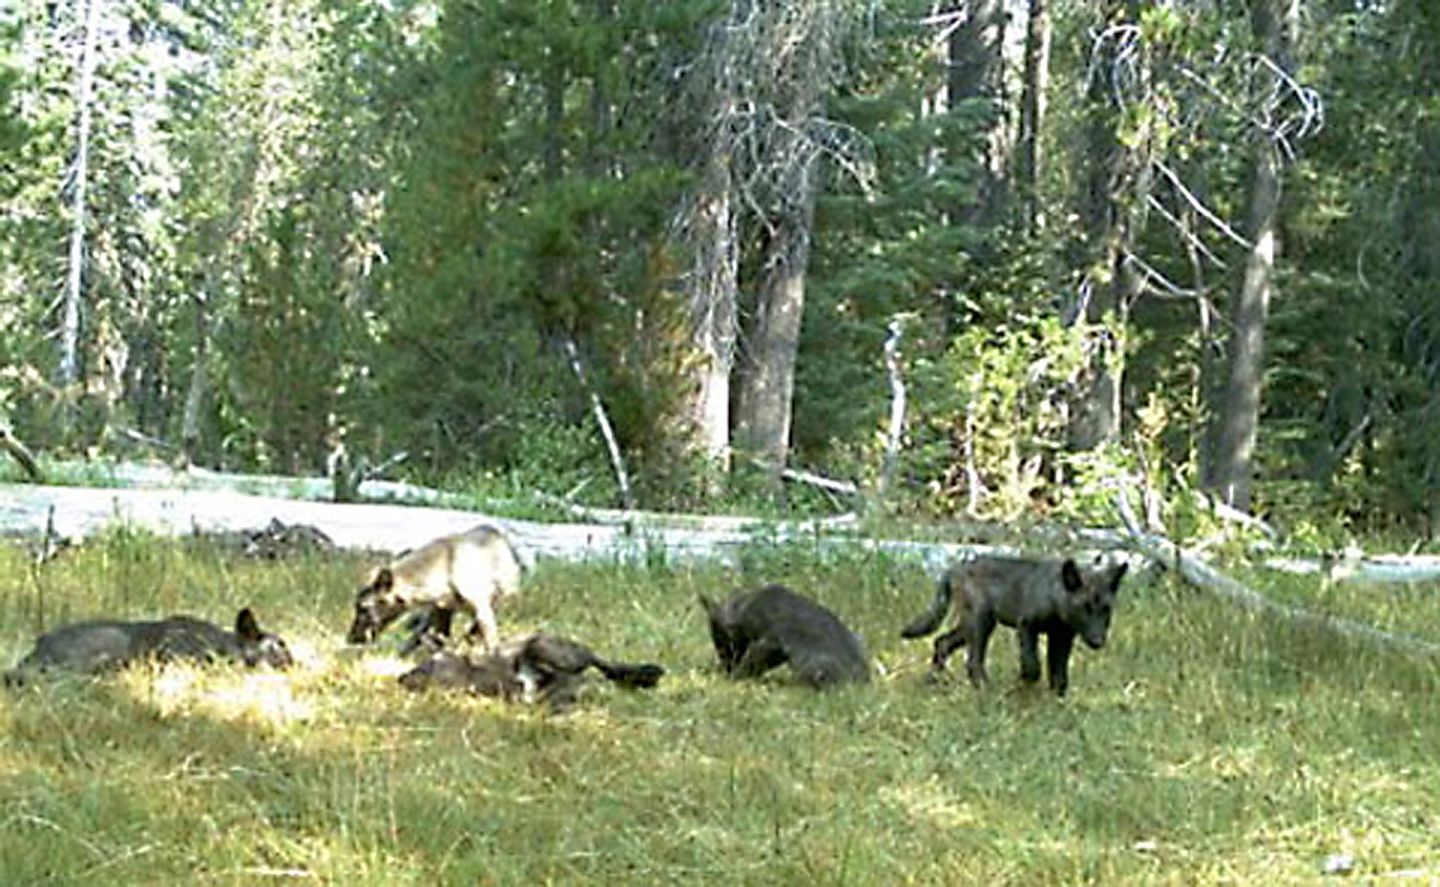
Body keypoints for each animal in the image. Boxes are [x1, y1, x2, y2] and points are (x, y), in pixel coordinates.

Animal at [347, 524, 523, 652]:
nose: (351, 638)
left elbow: (491, 643)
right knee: (419, 633)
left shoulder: (481, 608)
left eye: (363, 608)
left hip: (499, 599)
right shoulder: (441, 609)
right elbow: (438, 641)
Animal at [901, 555, 1129, 696]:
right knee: (972, 661)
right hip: (980, 624)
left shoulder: (1061, 638)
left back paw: (930, 681)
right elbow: (1032, 666)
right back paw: (986, 690)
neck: (1054, 597)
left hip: (971, 626)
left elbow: (1059, 676)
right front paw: (1023, 687)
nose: (1098, 641)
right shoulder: (1026, 625)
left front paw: (1056, 702)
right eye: (1084, 608)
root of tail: (955, 568)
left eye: (1106, 609)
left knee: (942, 642)